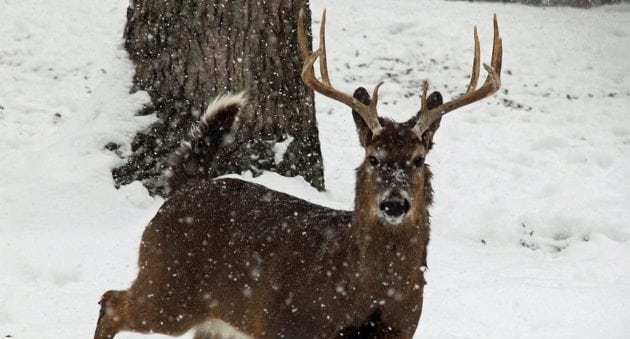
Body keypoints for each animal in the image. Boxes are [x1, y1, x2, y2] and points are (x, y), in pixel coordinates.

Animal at [94, 7, 506, 339]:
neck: (364, 295)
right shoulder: (282, 324)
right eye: (373, 157)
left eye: (418, 159)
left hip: (215, 315)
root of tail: (186, 188)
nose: (394, 203)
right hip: (169, 286)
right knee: (110, 301)